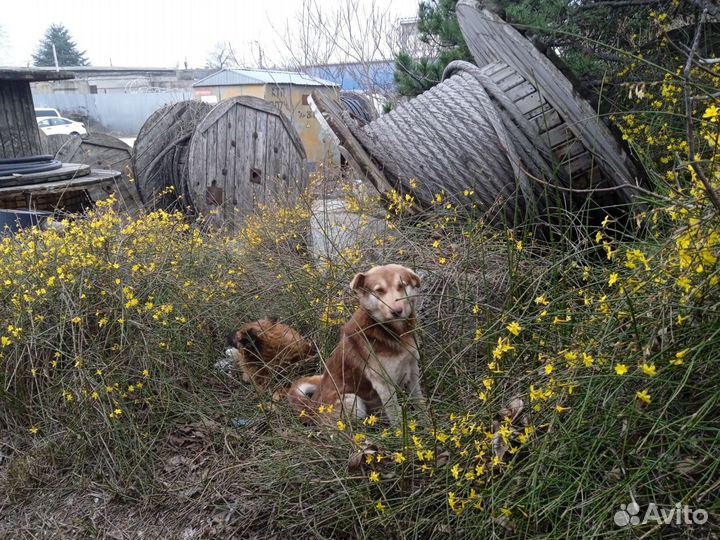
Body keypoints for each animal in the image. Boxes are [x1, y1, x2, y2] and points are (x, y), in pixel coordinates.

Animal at [286, 264, 422, 426]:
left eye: (401, 285)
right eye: (379, 290)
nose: (396, 311)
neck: (390, 331)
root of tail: (313, 407)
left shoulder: (413, 368)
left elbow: (421, 403)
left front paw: (427, 424)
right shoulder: (384, 384)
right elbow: (396, 417)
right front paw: (401, 432)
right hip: (353, 402)